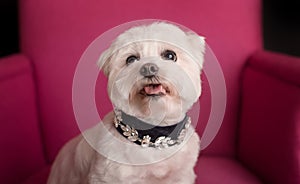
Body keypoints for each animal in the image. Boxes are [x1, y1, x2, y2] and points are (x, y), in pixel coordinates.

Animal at [47, 22, 206, 183]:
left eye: (170, 55)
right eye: (131, 59)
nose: (148, 67)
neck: (153, 136)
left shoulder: (182, 176)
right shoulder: (107, 177)